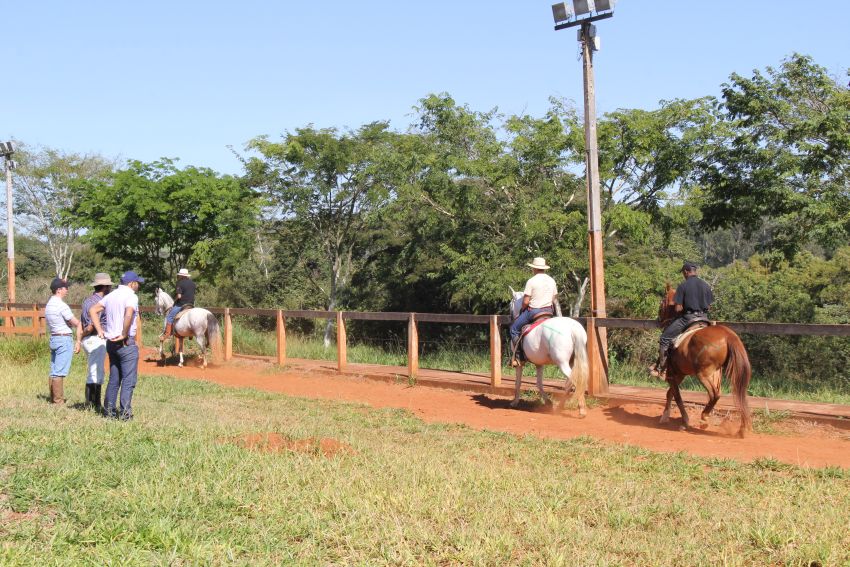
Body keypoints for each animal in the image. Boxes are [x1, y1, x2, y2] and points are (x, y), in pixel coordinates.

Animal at [657, 283, 752, 437]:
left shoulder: (672, 374)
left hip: (703, 374)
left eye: (662, 303)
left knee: (715, 394)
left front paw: (685, 421)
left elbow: (677, 396)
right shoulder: (680, 374)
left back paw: (704, 418)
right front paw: (665, 416)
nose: (659, 321)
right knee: (740, 395)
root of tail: (728, 335)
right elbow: (670, 393)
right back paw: (742, 429)